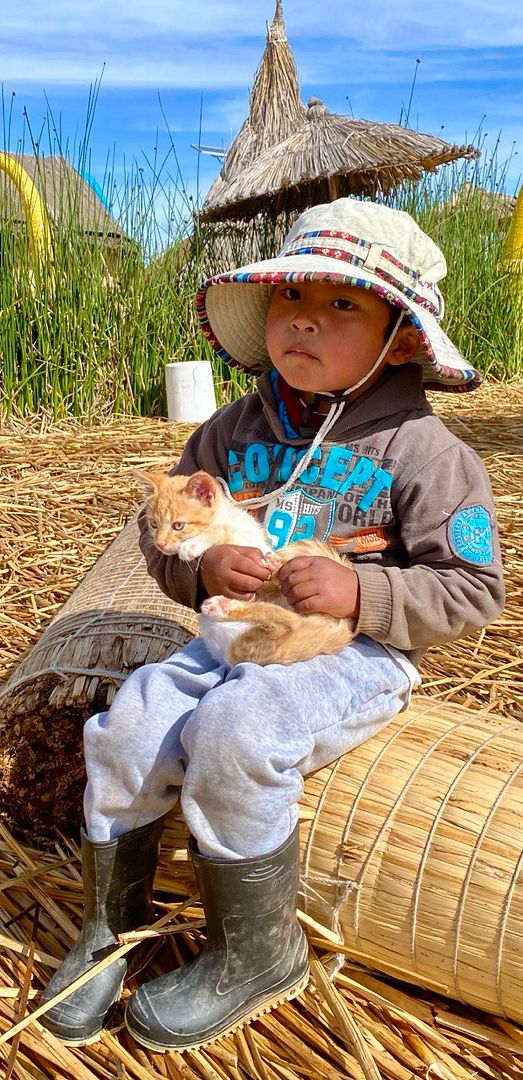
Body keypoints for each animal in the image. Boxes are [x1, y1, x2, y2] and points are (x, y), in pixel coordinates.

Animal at [136, 470, 354, 665]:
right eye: (153, 524)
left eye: (178, 526)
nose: (159, 544)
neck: (225, 517)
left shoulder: (252, 544)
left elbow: (222, 532)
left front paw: (193, 545)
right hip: (247, 647)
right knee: (287, 621)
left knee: (291, 621)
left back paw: (225, 605)